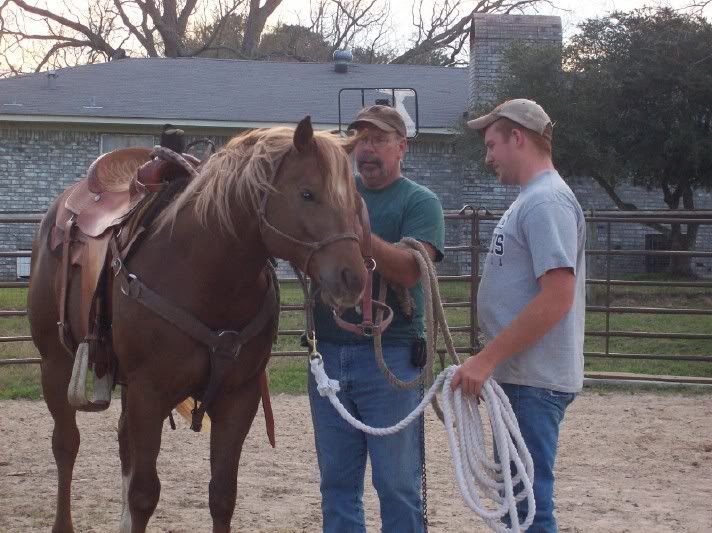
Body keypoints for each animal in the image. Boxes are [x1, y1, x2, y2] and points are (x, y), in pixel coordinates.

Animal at [26, 117, 368, 532]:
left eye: (353, 199)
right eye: (307, 193)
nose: (353, 278)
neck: (202, 272)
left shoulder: (239, 397)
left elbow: (222, 495)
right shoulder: (149, 392)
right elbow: (143, 494)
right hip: (55, 364)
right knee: (66, 444)